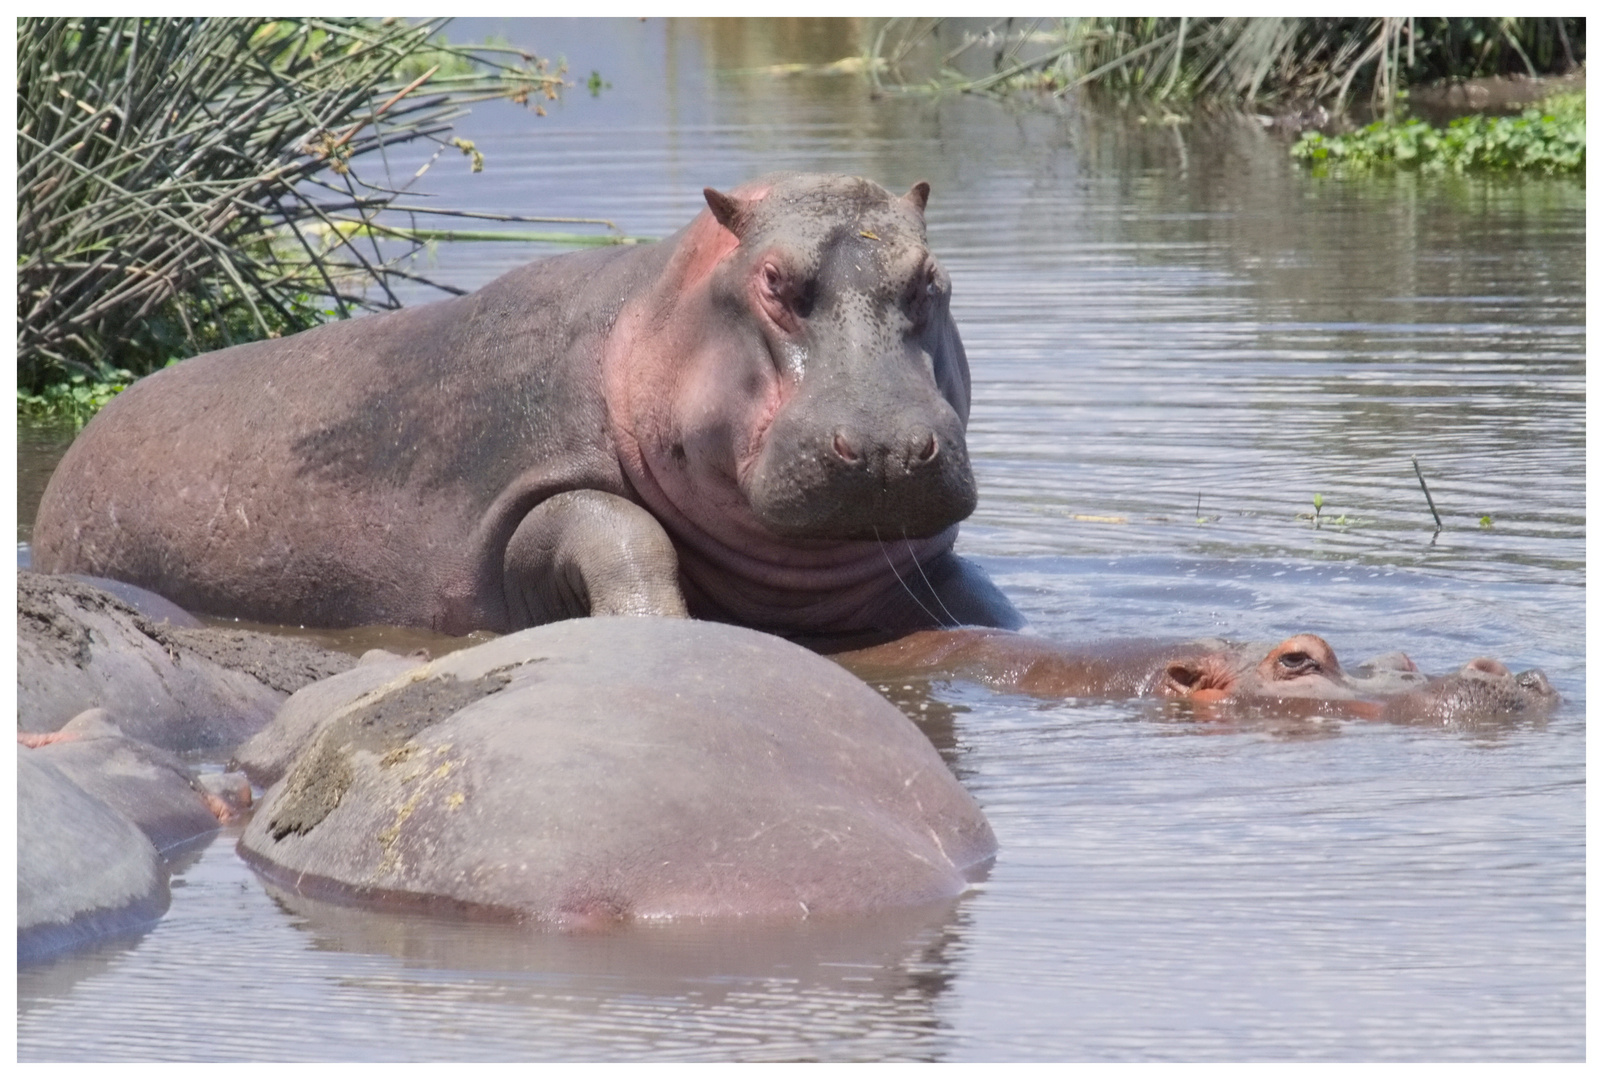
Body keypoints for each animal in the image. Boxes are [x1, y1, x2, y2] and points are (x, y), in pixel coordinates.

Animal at [34, 171, 1013, 634]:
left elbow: (980, 597)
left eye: (931, 277)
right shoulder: (514, 500)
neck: (659, 311)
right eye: (772, 280)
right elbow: (617, 533)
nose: (886, 446)